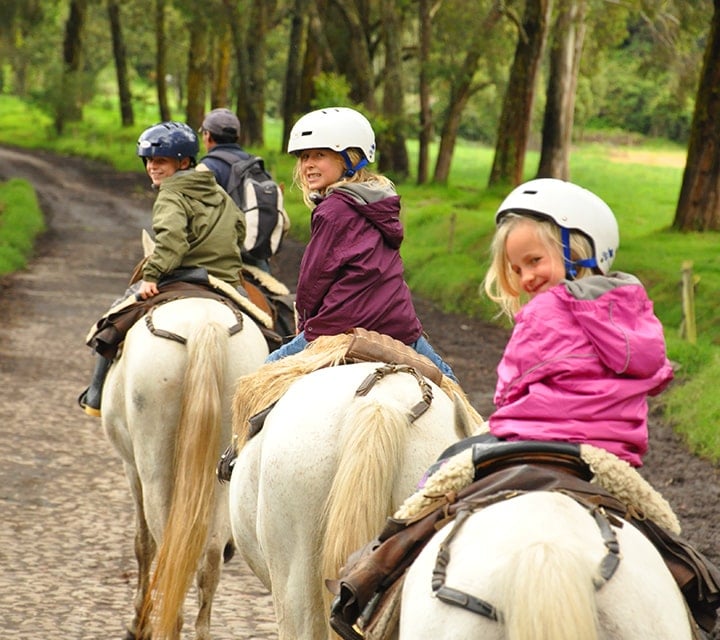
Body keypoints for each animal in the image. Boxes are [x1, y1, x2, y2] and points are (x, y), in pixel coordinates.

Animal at [102, 298, 270, 640]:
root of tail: (203, 324)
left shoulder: (131, 469)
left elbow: (143, 544)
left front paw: (138, 623)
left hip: (156, 471)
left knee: (171, 551)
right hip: (221, 475)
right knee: (209, 560)